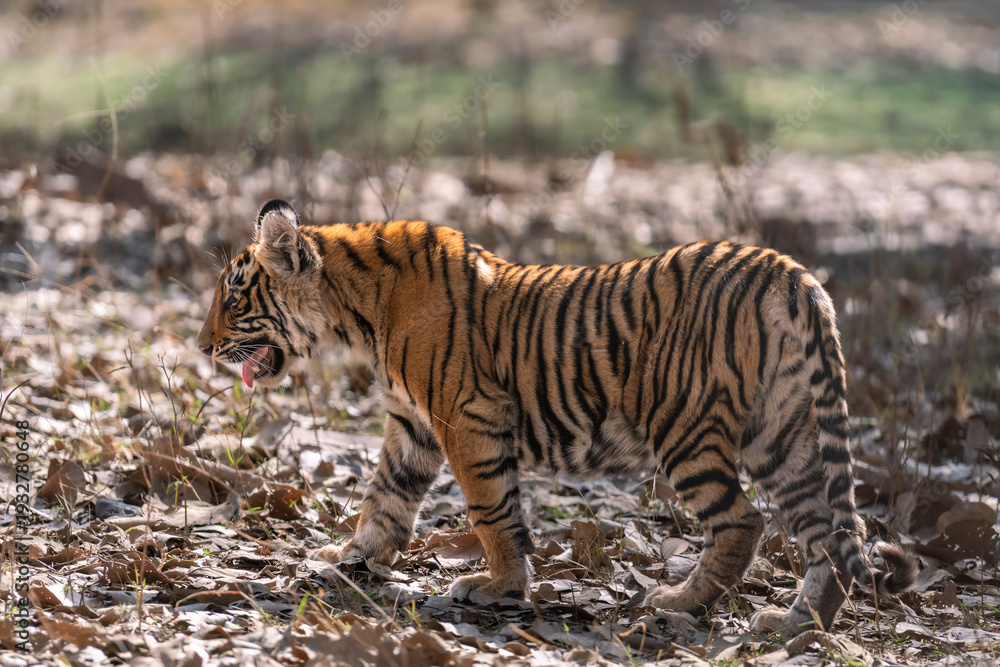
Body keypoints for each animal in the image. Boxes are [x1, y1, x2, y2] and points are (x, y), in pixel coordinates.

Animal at [197, 199, 917, 636]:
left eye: (233, 299)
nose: (201, 346)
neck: (357, 311)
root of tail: (789, 270)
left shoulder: (466, 417)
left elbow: (490, 510)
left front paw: (497, 586)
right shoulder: (413, 426)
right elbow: (385, 498)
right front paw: (346, 556)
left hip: (685, 427)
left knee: (743, 521)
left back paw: (680, 603)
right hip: (783, 431)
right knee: (828, 527)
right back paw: (797, 624)